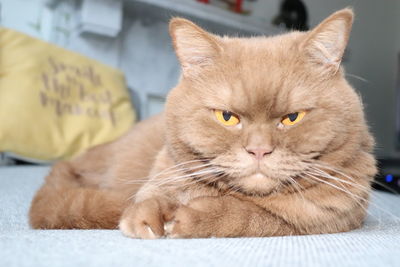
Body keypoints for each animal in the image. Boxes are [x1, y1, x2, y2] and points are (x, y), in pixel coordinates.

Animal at [29, 7, 376, 239]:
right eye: (227, 117)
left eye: (292, 118)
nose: (259, 151)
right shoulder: (160, 177)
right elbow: (150, 197)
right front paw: (148, 215)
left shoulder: (320, 219)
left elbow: (247, 215)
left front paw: (191, 216)